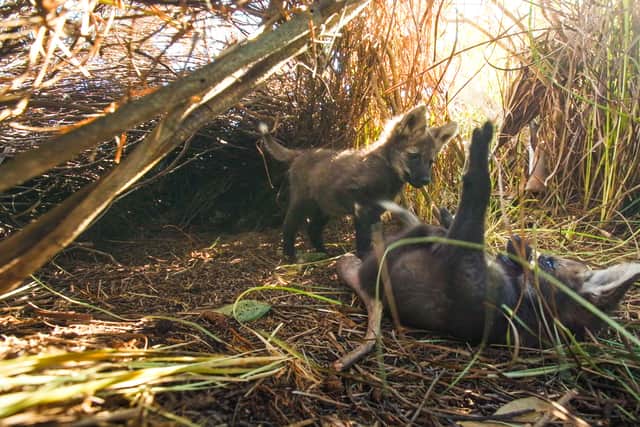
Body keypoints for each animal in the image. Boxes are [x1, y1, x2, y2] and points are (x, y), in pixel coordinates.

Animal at [258, 105, 458, 261]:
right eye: (414, 156)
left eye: (430, 162)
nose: (426, 180)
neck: (385, 173)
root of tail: (300, 152)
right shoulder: (361, 206)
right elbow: (362, 239)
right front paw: (364, 259)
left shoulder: (377, 210)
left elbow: (375, 239)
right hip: (301, 204)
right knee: (288, 228)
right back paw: (290, 257)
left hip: (324, 209)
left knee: (313, 230)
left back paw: (324, 253)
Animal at [334, 122, 640, 370]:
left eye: (548, 262)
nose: (516, 241)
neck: (523, 300)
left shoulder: (460, 254)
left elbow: (479, 188)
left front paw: (480, 147)